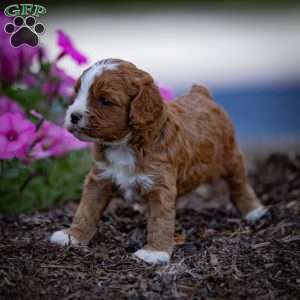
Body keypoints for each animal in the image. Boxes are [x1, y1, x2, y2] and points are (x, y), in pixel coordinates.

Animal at [50, 58, 268, 262]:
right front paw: (72, 236)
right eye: (77, 93)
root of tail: (201, 93)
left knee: (239, 183)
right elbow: (86, 210)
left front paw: (155, 252)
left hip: (230, 156)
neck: (124, 145)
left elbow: (160, 219)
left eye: (105, 100)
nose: (73, 116)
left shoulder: (159, 185)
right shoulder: (99, 179)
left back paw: (253, 210)